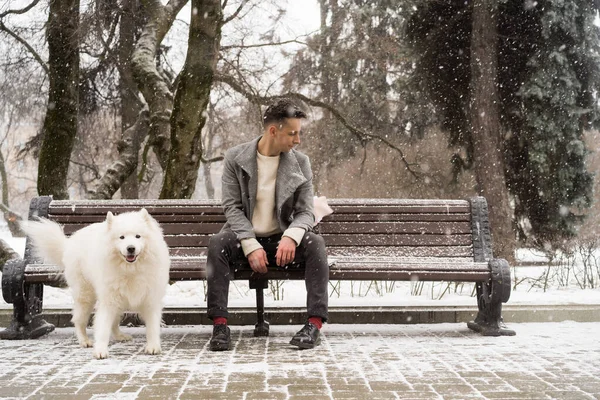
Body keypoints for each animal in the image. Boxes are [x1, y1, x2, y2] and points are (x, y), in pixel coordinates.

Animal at [21, 209, 169, 360]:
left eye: (138, 236)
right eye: (121, 237)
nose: (131, 248)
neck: (130, 270)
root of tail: (69, 243)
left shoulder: (150, 299)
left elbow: (152, 326)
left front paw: (153, 346)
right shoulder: (108, 300)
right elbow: (103, 327)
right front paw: (100, 350)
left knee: (114, 322)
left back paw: (119, 336)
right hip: (86, 297)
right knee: (79, 320)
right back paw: (84, 340)